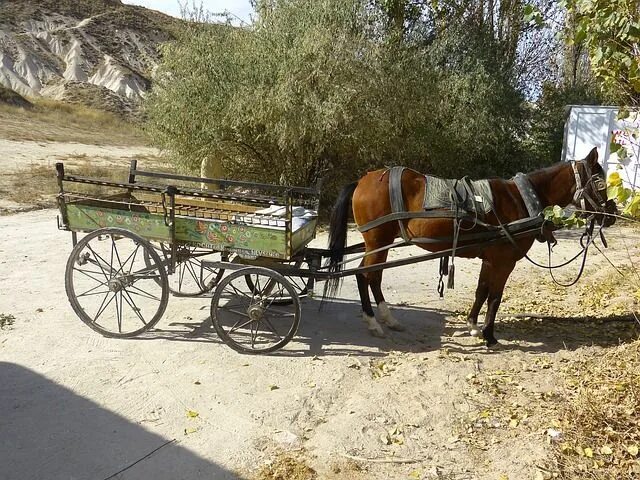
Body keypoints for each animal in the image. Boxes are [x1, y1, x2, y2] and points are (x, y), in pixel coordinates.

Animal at [324, 148, 616, 346]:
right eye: (600, 182)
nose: (611, 215)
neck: (521, 199)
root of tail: (363, 180)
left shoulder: (490, 259)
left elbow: (481, 291)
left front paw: (473, 325)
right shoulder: (503, 261)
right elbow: (495, 297)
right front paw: (489, 335)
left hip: (378, 244)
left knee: (371, 276)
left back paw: (386, 318)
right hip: (378, 241)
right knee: (366, 275)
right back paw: (374, 322)